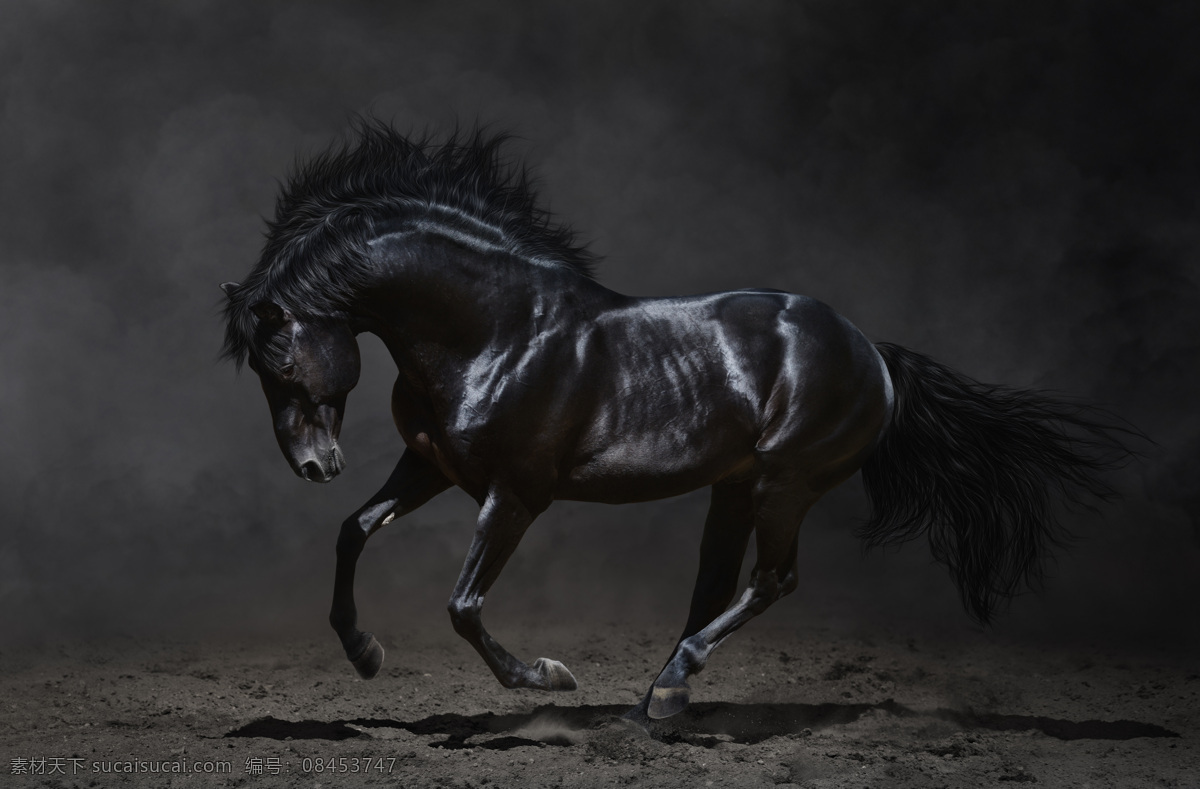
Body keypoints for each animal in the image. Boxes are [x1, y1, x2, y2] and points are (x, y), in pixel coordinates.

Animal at [221, 121, 1132, 722]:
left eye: (281, 362)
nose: (313, 465)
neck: (498, 331)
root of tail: (872, 351)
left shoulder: (515, 494)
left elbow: (464, 604)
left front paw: (548, 677)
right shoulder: (433, 467)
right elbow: (354, 530)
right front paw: (364, 652)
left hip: (785, 482)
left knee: (772, 580)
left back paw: (667, 688)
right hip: (736, 486)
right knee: (715, 585)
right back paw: (659, 697)